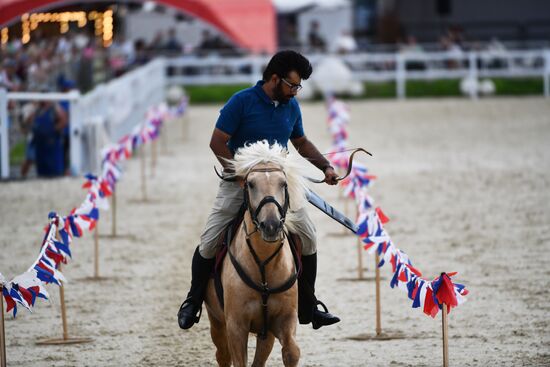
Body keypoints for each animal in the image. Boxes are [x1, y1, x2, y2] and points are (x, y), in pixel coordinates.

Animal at [206, 142, 310, 367]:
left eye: (283, 184)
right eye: (251, 184)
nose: (270, 225)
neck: (264, 264)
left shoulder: (282, 320)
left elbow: (292, 352)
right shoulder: (236, 326)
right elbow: (238, 360)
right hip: (216, 321)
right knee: (222, 355)